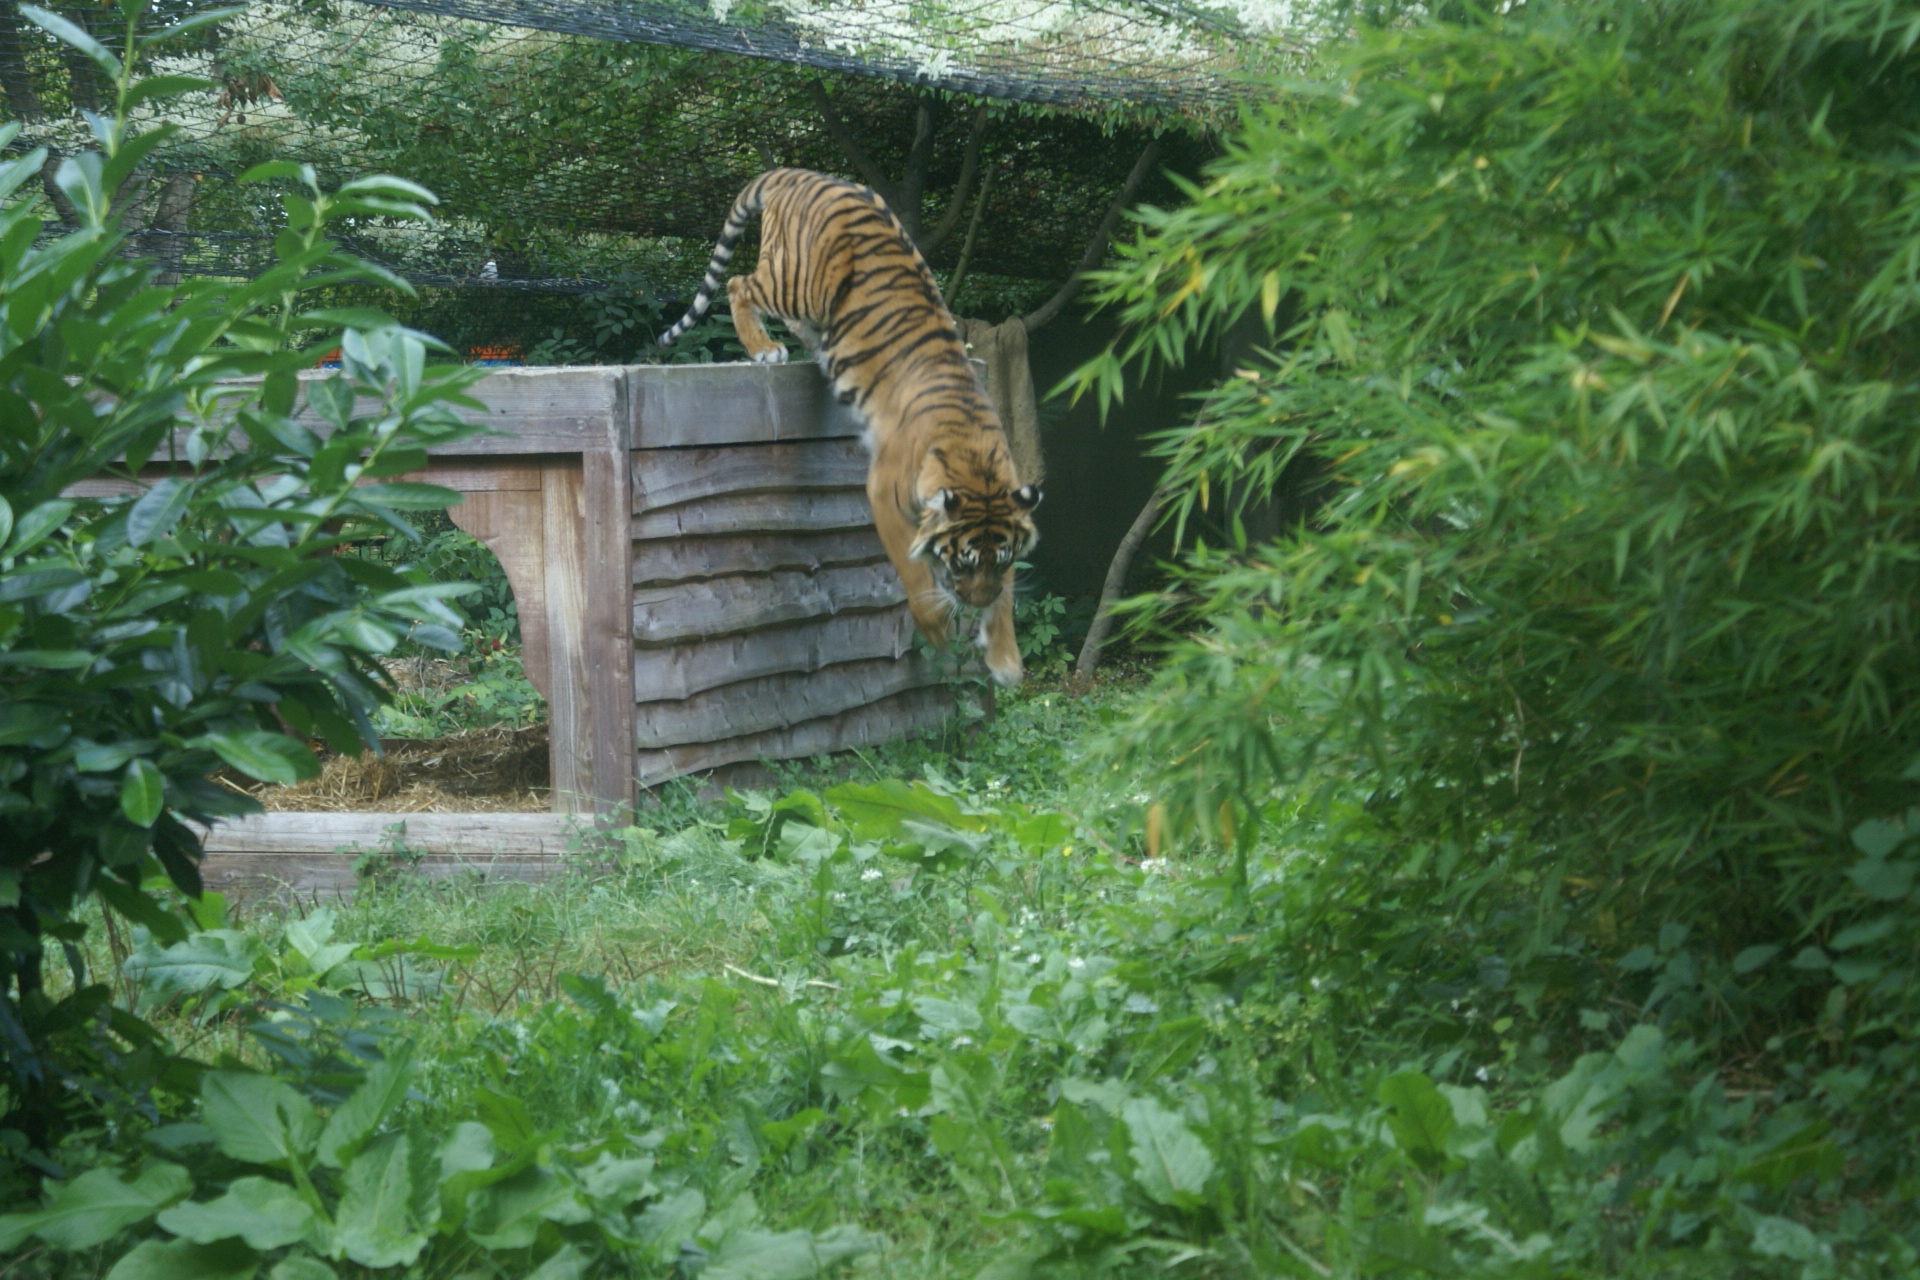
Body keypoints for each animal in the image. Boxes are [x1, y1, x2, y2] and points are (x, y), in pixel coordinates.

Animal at [658, 167, 1041, 686]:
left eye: (997, 561)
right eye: (962, 561)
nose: (972, 602)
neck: (975, 461)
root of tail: (797, 173)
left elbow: (1006, 597)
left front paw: (1005, 659)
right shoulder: (885, 492)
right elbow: (912, 573)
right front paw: (940, 631)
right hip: (796, 280)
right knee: (739, 284)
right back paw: (764, 348)